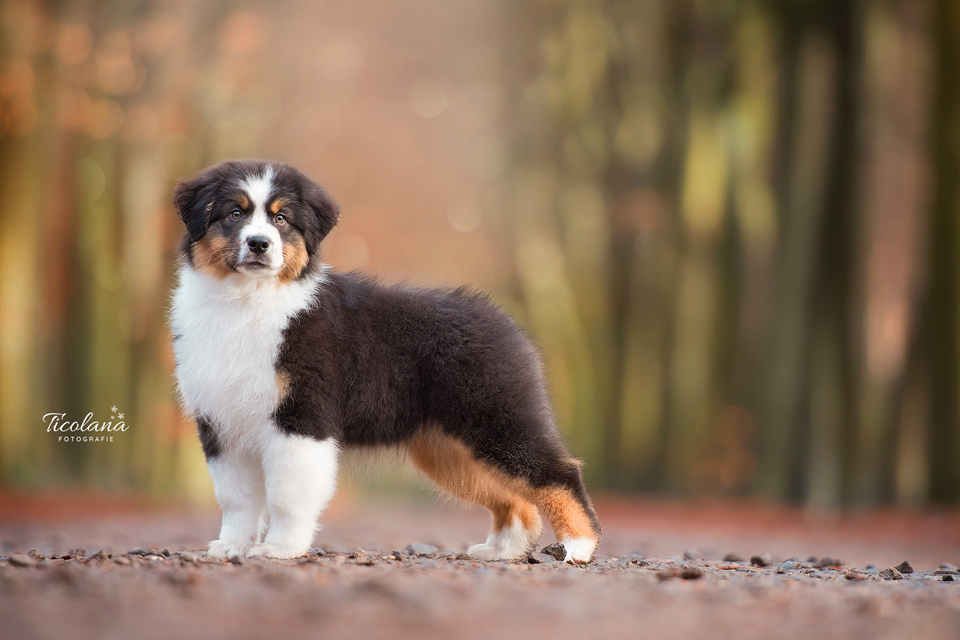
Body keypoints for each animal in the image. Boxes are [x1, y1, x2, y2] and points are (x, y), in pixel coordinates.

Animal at [169, 162, 596, 564]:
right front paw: (231, 547)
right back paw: (502, 551)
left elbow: (286, 494)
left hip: (495, 419)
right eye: (234, 214)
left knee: (559, 472)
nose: (259, 244)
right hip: (451, 448)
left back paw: (577, 546)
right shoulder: (220, 423)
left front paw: (280, 549)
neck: (248, 300)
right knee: (514, 498)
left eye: (281, 219)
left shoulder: (302, 416)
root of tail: (504, 320)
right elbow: (235, 497)